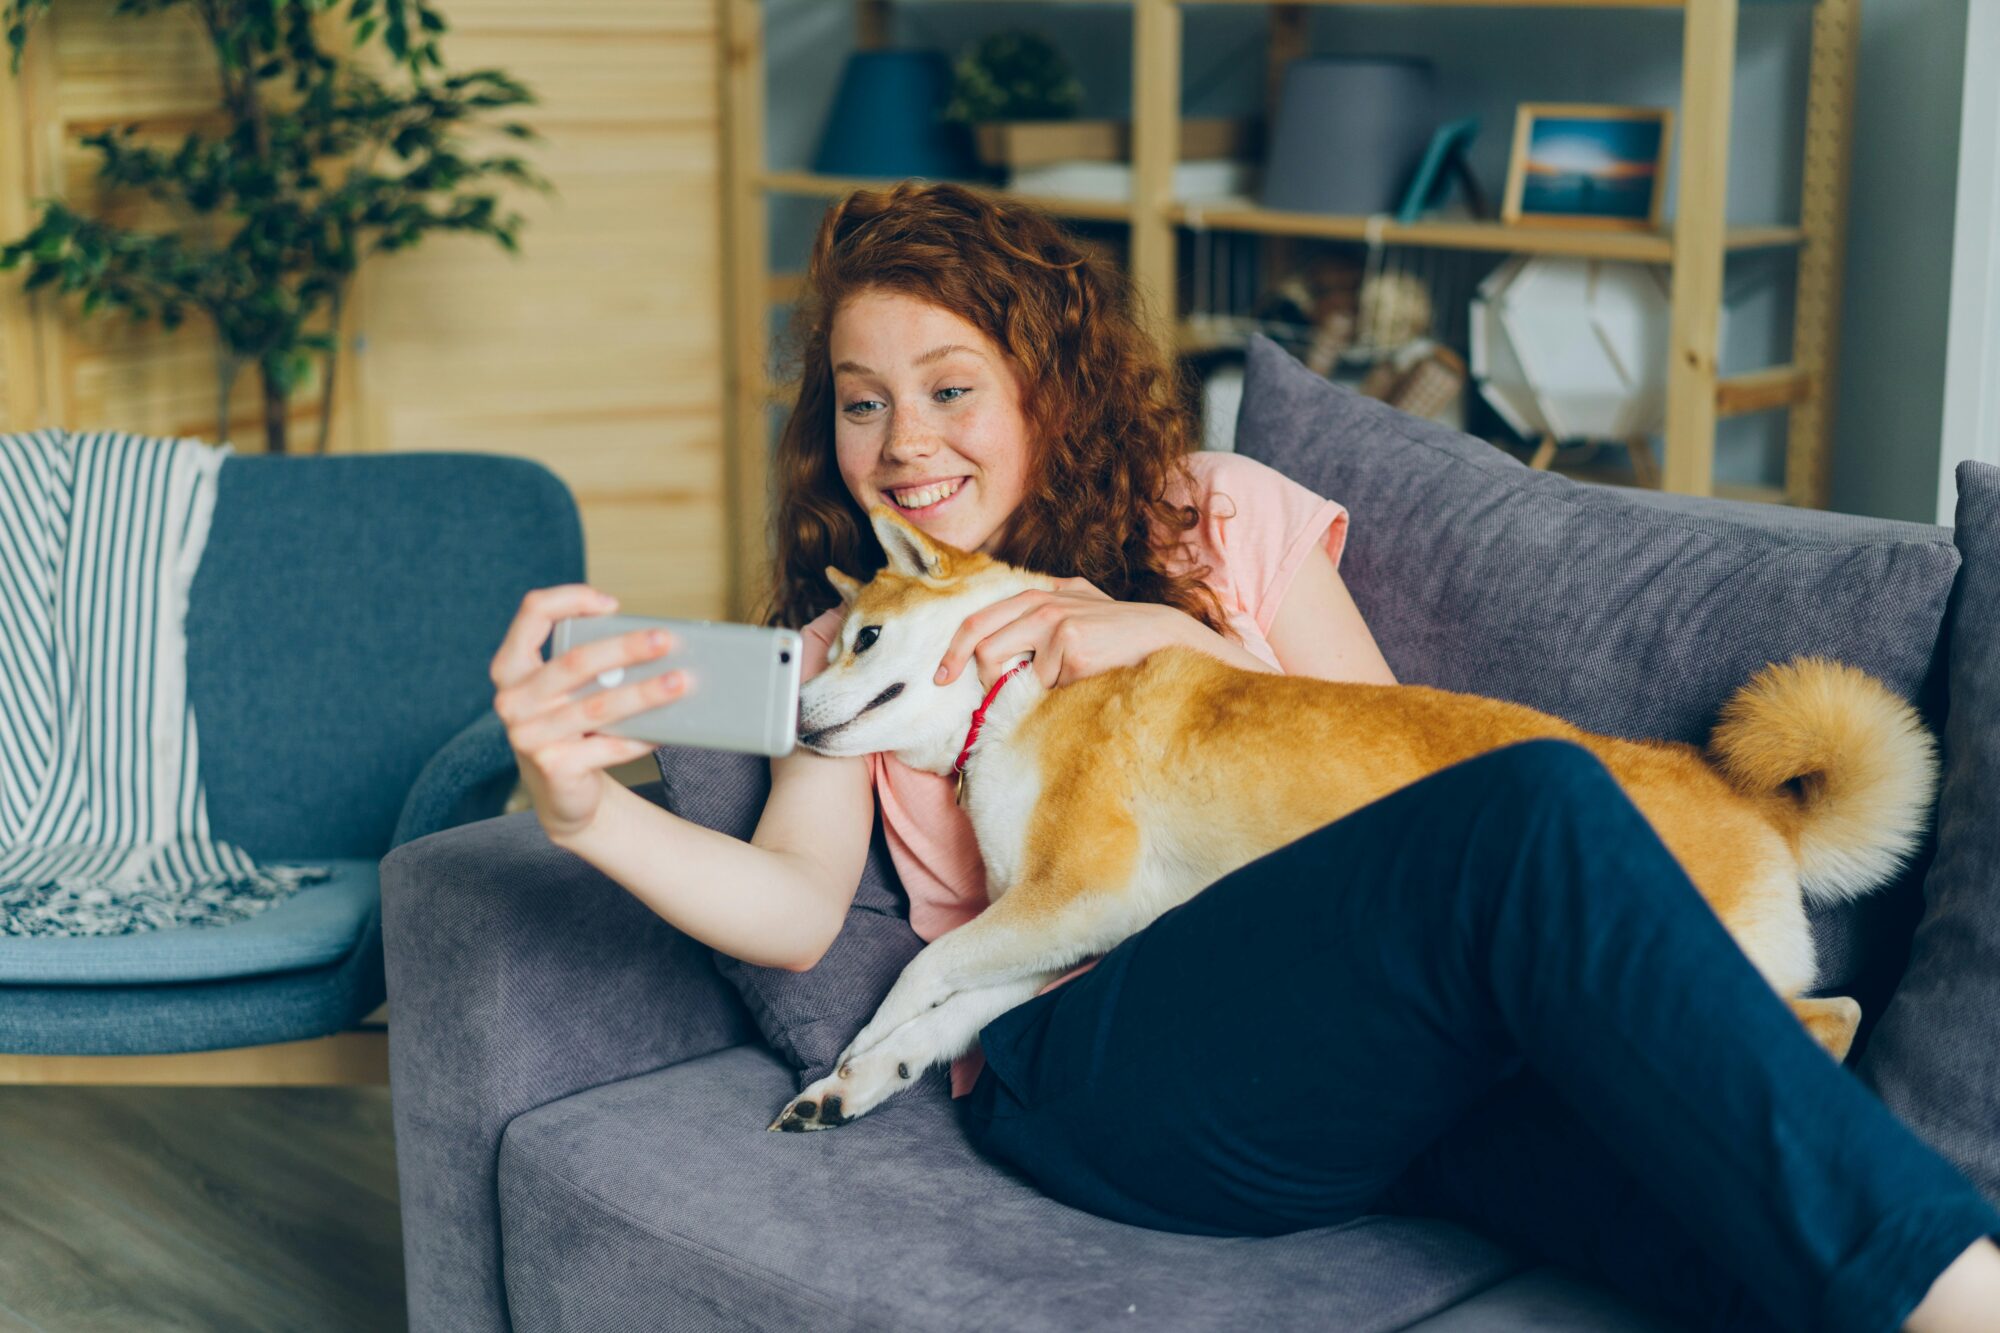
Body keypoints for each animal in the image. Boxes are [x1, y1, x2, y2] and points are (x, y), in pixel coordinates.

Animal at [764, 504, 1936, 1128]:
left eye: (862, 639)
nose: (791, 716)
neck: (1015, 693)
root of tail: (1739, 796)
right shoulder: (1080, 926)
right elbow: (950, 1008)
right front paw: (860, 1079)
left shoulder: (1077, 894)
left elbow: (921, 971)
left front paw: (858, 1043)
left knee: (1826, 1020)